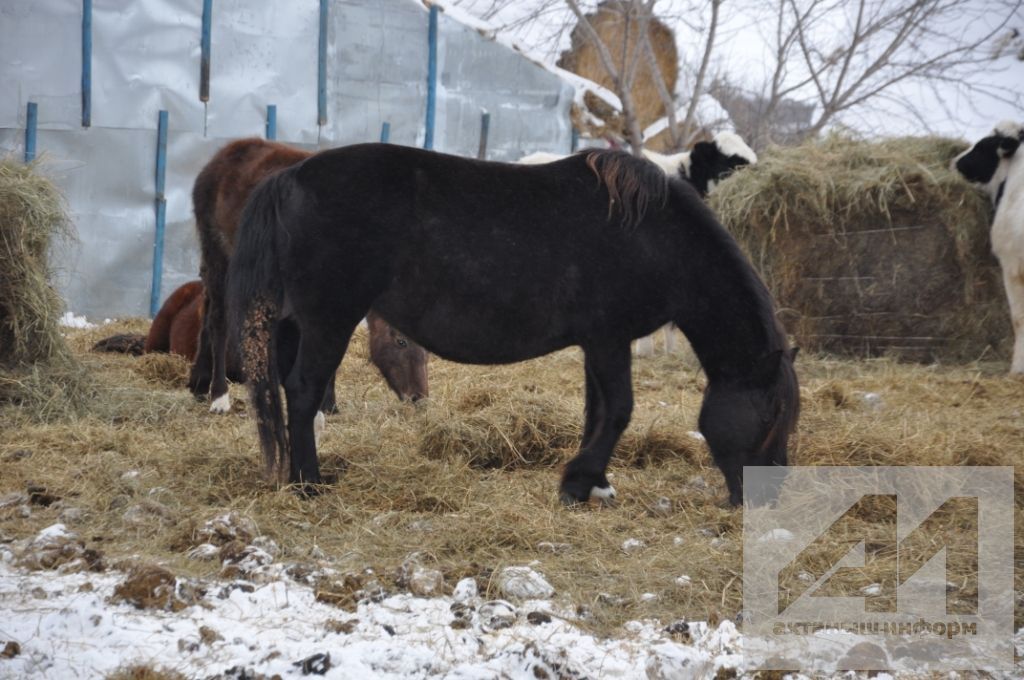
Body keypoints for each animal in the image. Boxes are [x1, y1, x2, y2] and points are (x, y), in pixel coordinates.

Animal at [188, 137, 428, 409]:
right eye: (401, 341)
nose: (419, 397)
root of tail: (221, 157)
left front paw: (328, 403)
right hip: (218, 255)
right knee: (218, 320)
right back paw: (219, 396)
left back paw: (199, 384)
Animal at [230, 144, 798, 503]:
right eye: (771, 416)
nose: (766, 497)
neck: (655, 235)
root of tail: (290, 177)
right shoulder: (609, 340)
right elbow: (618, 411)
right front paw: (578, 483)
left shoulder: (597, 346)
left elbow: (597, 412)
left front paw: (592, 483)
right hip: (329, 319)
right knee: (304, 391)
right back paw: (309, 483)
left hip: (297, 324)